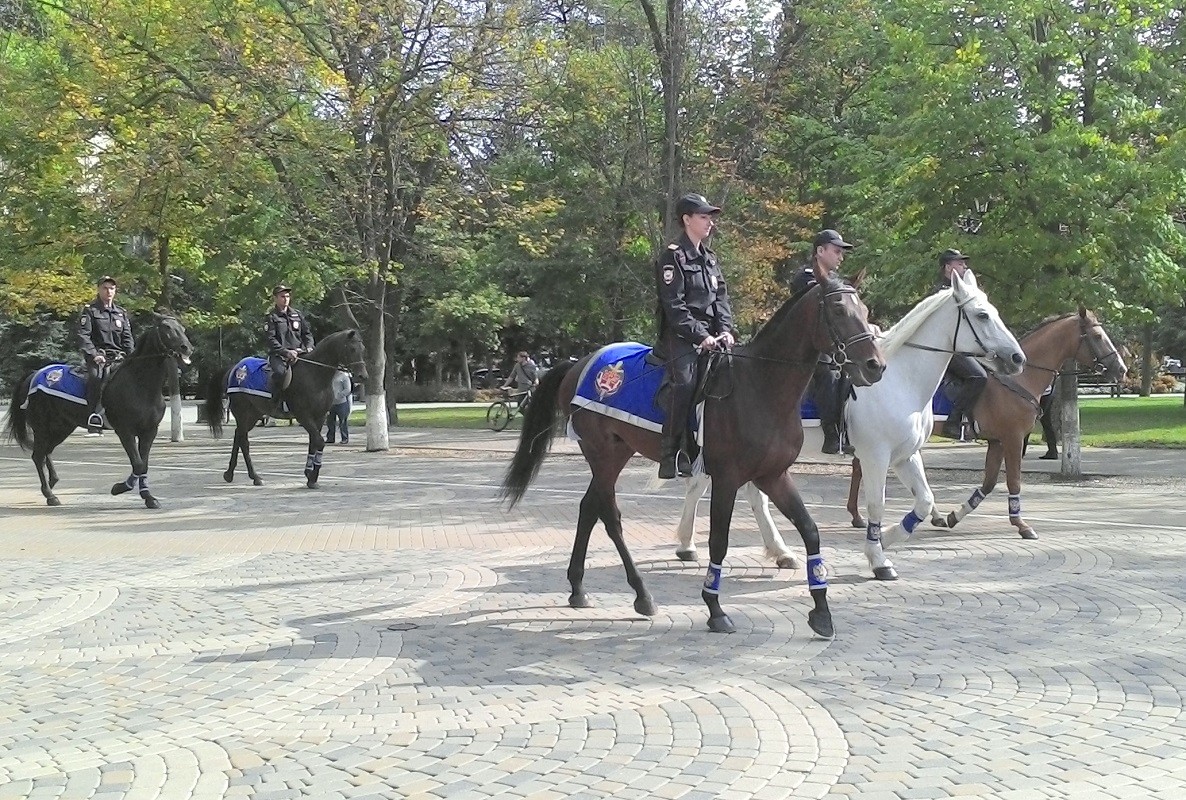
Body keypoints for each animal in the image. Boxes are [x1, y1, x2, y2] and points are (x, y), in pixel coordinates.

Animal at [4, 315, 194, 509]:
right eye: (167, 328)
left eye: (183, 329)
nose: (187, 348)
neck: (139, 383)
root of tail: (35, 374)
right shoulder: (125, 431)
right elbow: (138, 464)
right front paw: (119, 488)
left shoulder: (149, 432)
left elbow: (144, 464)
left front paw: (148, 497)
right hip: (42, 428)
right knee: (38, 456)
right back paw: (50, 495)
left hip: (61, 428)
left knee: (45, 453)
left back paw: (52, 483)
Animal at [205, 329, 365, 488]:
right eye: (352, 349)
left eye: (362, 348)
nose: (362, 376)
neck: (314, 374)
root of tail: (235, 369)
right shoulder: (304, 416)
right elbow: (319, 442)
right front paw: (313, 477)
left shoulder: (319, 417)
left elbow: (313, 443)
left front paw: (309, 473)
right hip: (243, 413)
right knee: (243, 441)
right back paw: (254, 477)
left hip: (253, 414)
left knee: (238, 436)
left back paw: (230, 474)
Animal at [495, 274, 887, 640]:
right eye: (838, 310)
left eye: (866, 310)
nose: (874, 365)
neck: (761, 384)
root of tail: (582, 363)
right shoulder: (728, 479)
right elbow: (719, 541)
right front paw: (715, 608)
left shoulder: (773, 475)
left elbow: (810, 531)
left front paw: (821, 611)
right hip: (602, 454)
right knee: (610, 515)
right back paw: (641, 594)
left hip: (617, 452)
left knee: (590, 507)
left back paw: (579, 588)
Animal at [673, 272, 1024, 578]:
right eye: (981, 315)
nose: (1017, 358)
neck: (901, 381)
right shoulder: (876, 456)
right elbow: (877, 504)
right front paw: (878, 557)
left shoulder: (905, 455)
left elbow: (924, 501)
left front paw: (889, 538)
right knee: (701, 486)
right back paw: (692, 544)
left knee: (735, 492)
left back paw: (767, 551)